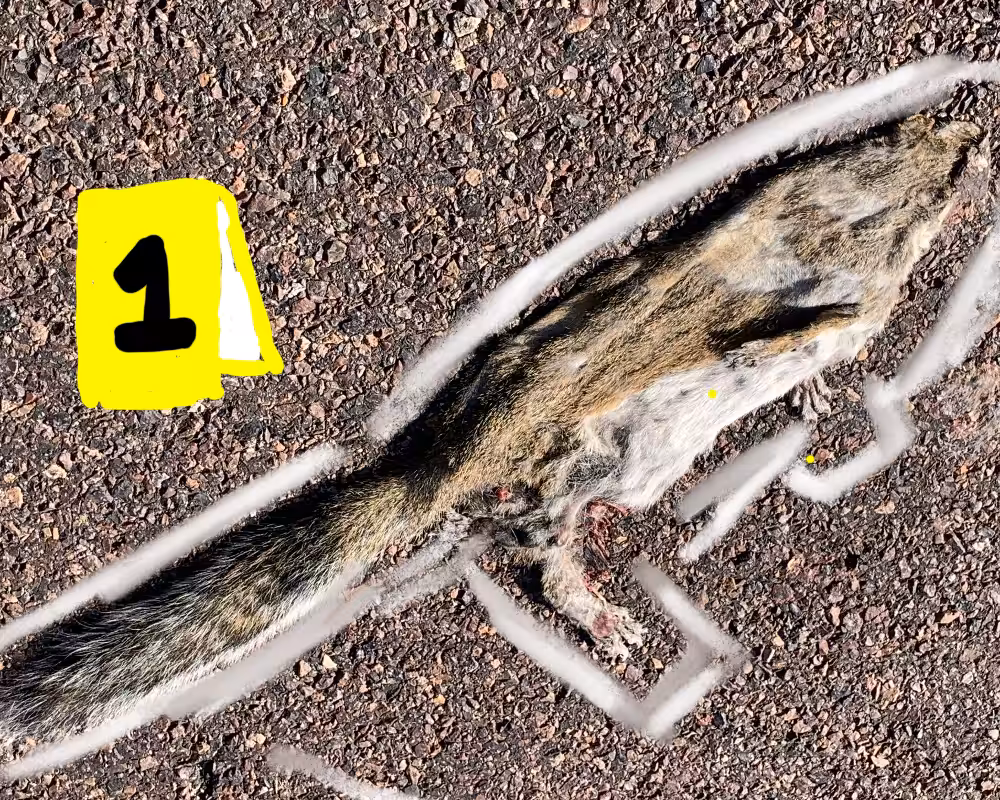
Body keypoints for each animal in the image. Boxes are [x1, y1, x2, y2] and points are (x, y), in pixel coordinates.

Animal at [0, 114, 988, 744]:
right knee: (546, 568)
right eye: (928, 161)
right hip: (567, 467)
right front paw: (809, 335)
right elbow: (784, 320)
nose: (974, 135)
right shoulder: (776, 269)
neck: (845, 222)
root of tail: (444, 466)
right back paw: (606, 619)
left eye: (919, 135)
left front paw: (816, 386)